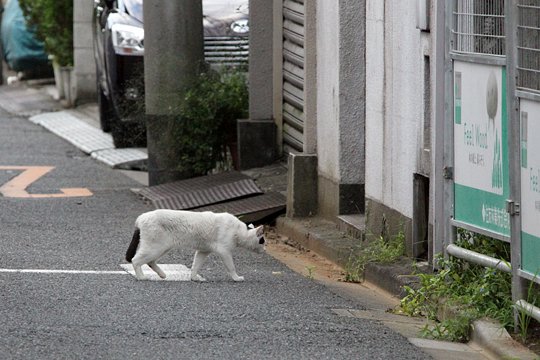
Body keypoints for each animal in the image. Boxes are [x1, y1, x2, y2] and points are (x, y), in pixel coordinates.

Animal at [124, 210, 264, 282]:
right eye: (263, 241)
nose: (265, 249)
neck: (239, 232)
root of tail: (140, 218)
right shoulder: (224, 251)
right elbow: (231, 267)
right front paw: (236, 278)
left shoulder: (203, 251)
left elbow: (196, 266)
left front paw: (194, 278)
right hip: (155, 248)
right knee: (135, 260)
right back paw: (142, 277)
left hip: (161, 248)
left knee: (150, 262)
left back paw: (162, 275)